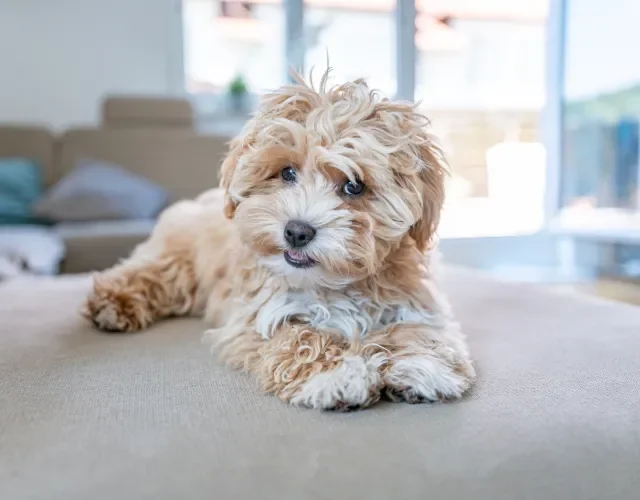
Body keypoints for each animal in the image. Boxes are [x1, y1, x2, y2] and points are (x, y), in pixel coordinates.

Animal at [84, 73, 476, 410]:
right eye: (287, 172)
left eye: (354, 186)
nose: (297, 231)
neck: (336, 284)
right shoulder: (261, 314)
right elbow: (298, 338)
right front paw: (337, 374)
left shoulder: (416, 301)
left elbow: (422, 330)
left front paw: (425, 364)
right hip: (180, 257)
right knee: (150, 272)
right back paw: (111, 304)